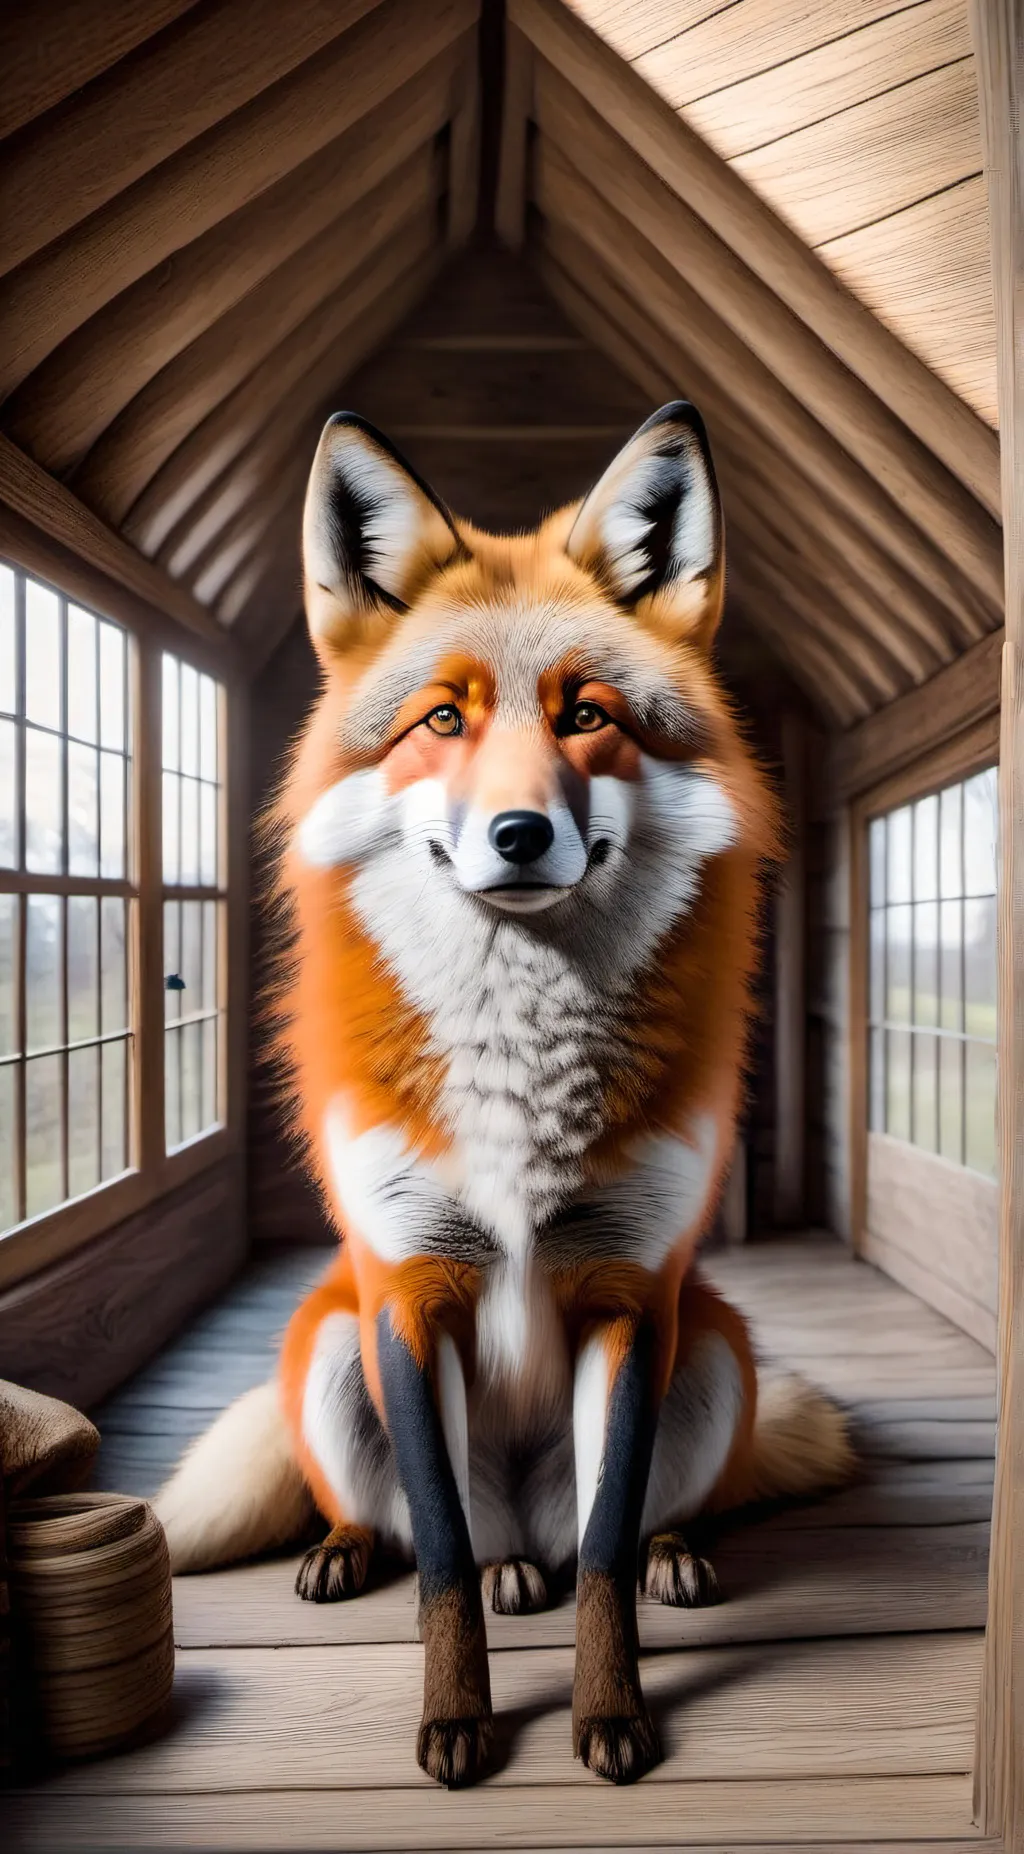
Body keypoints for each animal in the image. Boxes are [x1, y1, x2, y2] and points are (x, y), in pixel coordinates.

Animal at [156, 402, 854, 1789]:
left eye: (586, 712)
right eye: (443, 720)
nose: (521, 834)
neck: (521, 1075)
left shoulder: (631, 1296)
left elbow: (604, 1555)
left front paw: (609, 1717)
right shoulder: (408, 1291)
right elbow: (435, 1556)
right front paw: (456, 1722)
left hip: (713, 1353)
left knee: (595, 1533)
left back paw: (664, 1555)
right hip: (332, 1345)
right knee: (437, 1534)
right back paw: (359, 1553)